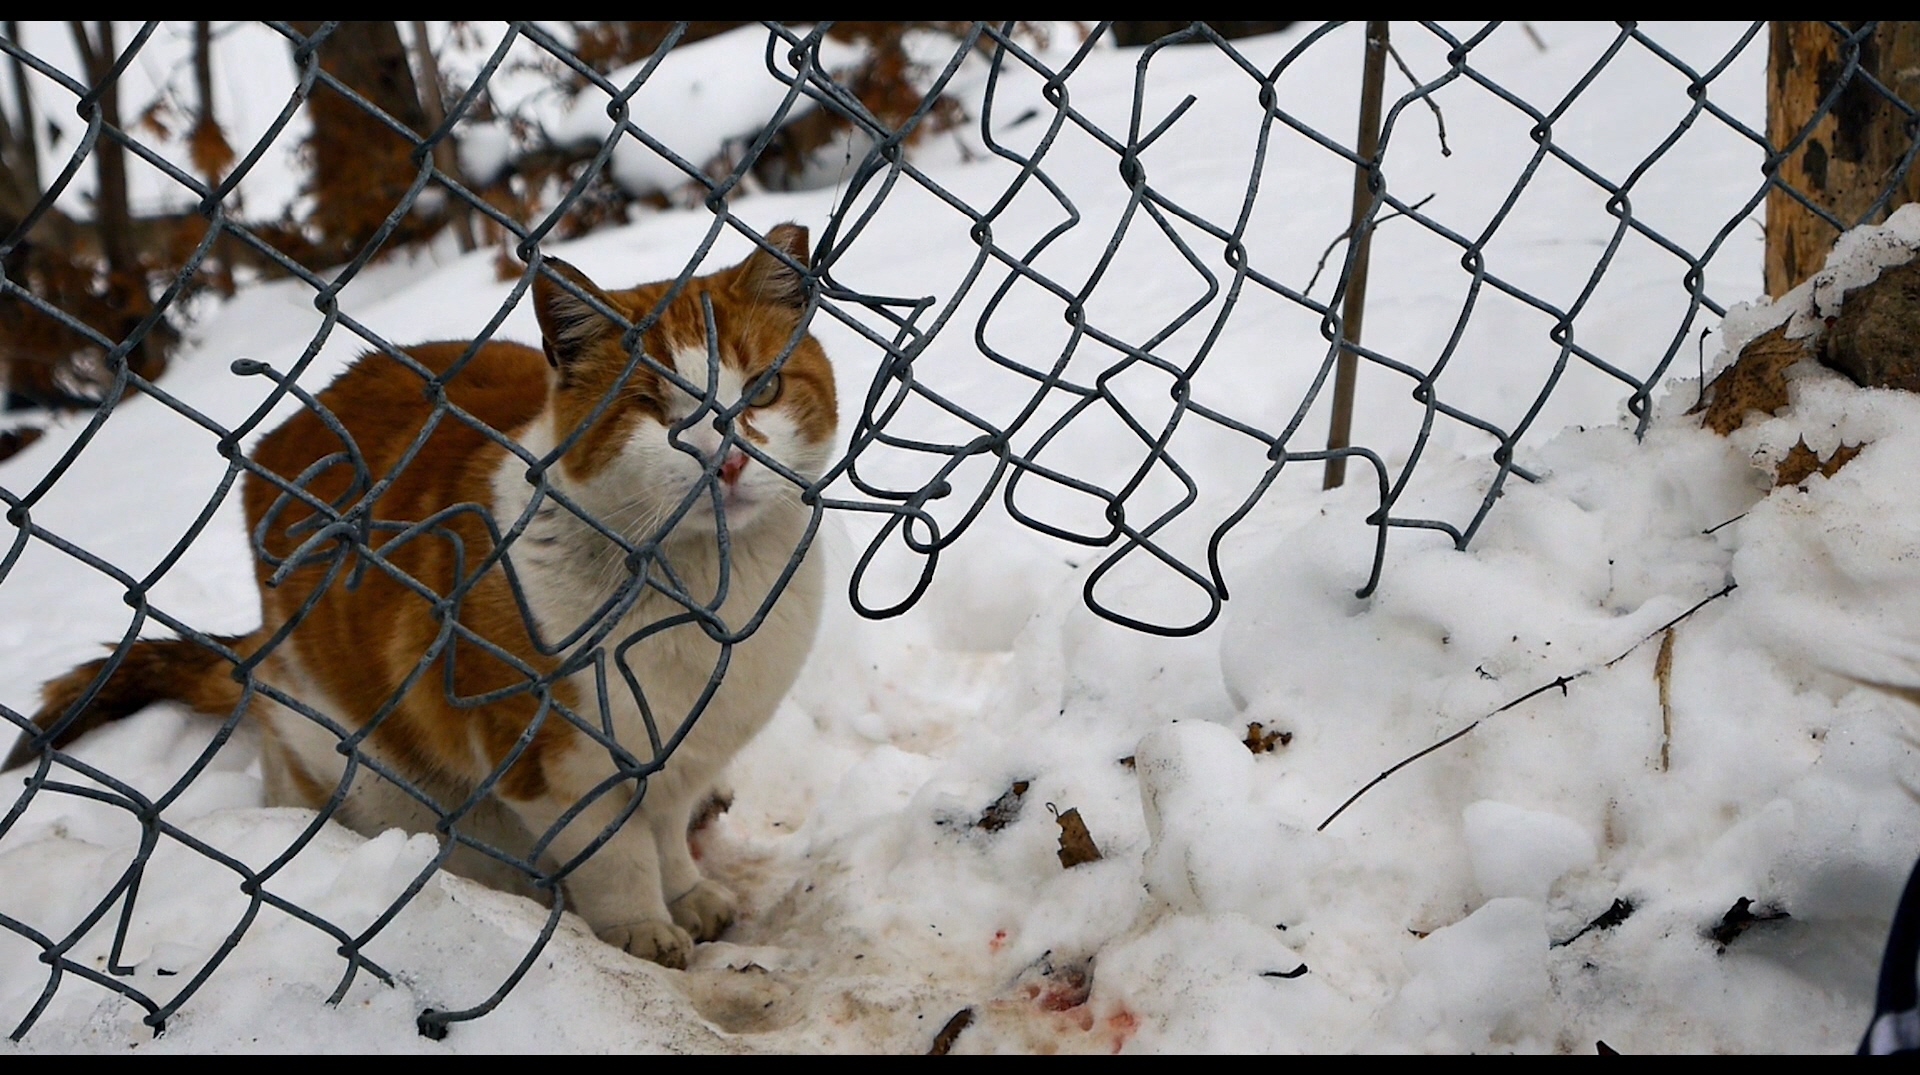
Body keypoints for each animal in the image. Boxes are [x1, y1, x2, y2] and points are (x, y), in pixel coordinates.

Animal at [7, 222, 837, 971]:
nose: (728, 461)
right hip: (366, 769)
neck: (705, 590)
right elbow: (617, 855)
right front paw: (641, 927)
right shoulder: (551, 767)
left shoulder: (678, 754)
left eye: (763, 387)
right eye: (653, 410)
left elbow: (663, 831)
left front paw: (689, 894)